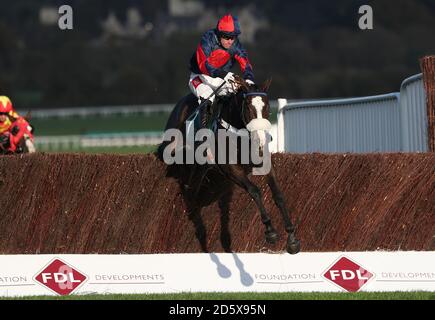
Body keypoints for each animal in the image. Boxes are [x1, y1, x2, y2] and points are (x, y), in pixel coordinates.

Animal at [158, 78, 302, 255]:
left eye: (267, 107)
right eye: (249, 107)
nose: (261, 139)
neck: (241, 135)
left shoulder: (264, 164)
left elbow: (278, 195)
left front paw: (292, 238)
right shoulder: (231, 168)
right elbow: (255, 191)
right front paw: (270, 231)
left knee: (191, 187)